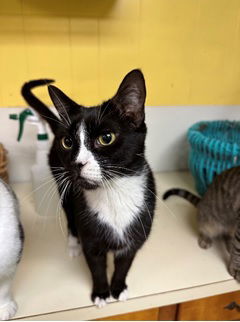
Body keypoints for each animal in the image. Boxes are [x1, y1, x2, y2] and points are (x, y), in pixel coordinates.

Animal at [22, 70, 156, 306]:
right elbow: (96, 267)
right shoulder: (91, 238)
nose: (77, 163)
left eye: (106, 138)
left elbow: (124, 264)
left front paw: (118, 288)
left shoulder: (136, 234)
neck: (113, 193)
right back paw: (73, 244)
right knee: (69, 216)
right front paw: (101, 293)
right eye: (67, 142)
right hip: (62, 184)